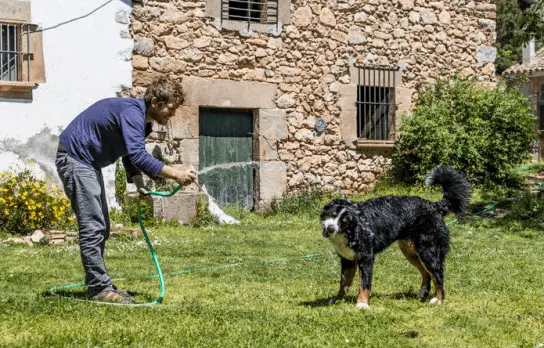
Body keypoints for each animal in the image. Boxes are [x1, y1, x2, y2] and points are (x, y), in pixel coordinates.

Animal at [320, 168, 470, 310]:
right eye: (332, 214)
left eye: (344, 221)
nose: (330, 228)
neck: (350, 230)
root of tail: (434, 206)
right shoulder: (347, 259)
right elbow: (344, 282)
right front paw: (337, 300)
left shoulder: (366, 257)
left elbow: (364, 283)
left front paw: (362, 304)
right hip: (410, 252)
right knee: (426, 274)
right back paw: (422, 295)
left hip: (428, 250)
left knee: (438, 275)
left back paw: (438, 300)